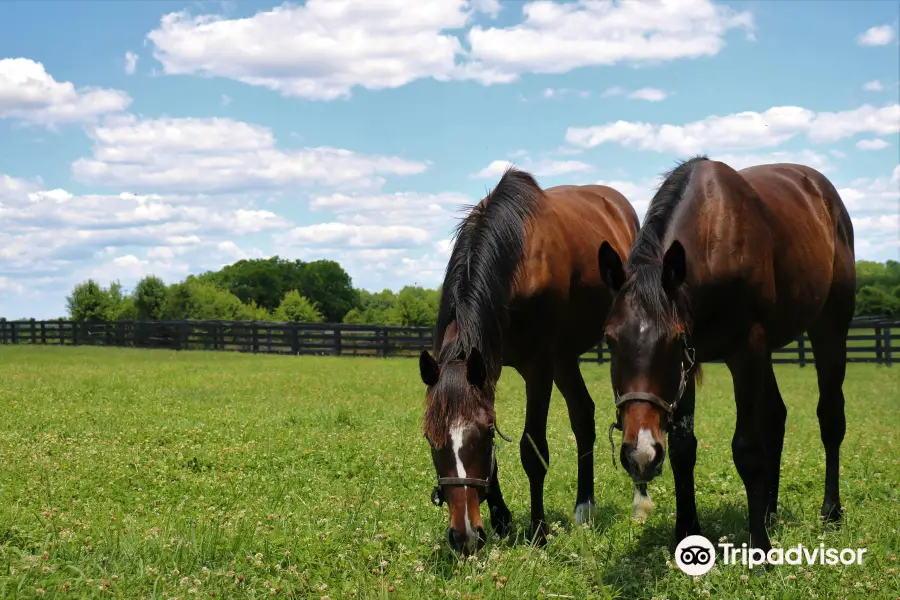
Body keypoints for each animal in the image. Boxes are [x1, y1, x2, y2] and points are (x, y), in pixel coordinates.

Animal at [420, 166, 640, 556]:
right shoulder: (488, 366)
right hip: (564, 358)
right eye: (433, 438)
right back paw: (584, 507)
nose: (464, 536)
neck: (516, 257)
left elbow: (532, 450)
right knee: (583, 416)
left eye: (480, 436)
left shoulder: (538, 368)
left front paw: (538, 529)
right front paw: (501, 519)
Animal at [596, 156, 856, 552]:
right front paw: (686, 530)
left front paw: (761, 547)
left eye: (672, 339)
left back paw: (831, 511)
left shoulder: (743, 350)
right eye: (610, 340)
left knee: (830, 417)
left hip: (829, 329)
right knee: (775, 417)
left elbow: (747, 449)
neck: (712, 238)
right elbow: (683, 448)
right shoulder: (691, 365)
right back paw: (769, 512)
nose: (640, 454)